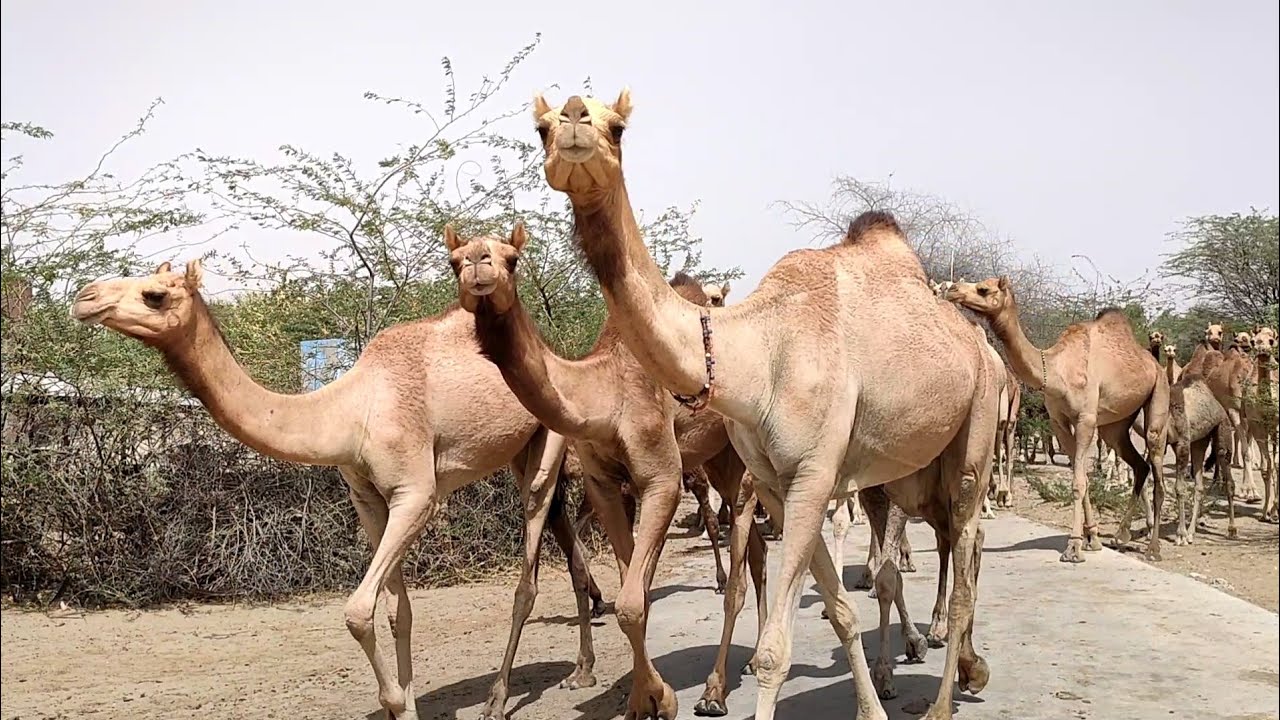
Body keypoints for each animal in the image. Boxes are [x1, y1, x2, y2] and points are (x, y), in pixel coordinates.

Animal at [69, 261, 606, 720]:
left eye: (155, 294)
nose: (84, 296)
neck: (351, 413)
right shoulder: (367, 498)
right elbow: (398, 612)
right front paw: (406, 706)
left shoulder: (417, 493)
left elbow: (358, 611)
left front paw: (394, 699)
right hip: (517, 449)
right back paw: (581, 669)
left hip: (548, 439)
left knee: (529, 562)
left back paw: (500, 697)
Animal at [444, 223, 769, 718]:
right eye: (454, 261)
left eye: (512, 258)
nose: (479, 265)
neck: (603, 395)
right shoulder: (604, 486)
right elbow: (631, 593)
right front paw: (639, 699)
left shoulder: (660, 479)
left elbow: (632, 603)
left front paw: (662, 698)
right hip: (717, 461)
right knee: (757, 551)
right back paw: (752, 659)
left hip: (741, 457)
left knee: (738, 573)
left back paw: (715, 690)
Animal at [532, 89, 1000, 720]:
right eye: (540, 128)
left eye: (619, 127)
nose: (576, 122)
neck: (759, 352)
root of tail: (982, 345)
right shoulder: (779, 484)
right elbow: (838, 609)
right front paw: (870, 706)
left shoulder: (813, 474)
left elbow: (777, 648)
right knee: (945, 547)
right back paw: (966, 667)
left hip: (977, 430)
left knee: (968, 554)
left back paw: (945, 697)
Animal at [946, 277, 1170, 561]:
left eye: (984, 289)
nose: (952, 289)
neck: (1056, 370)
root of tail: (1154, 365)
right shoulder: (1059, 422)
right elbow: (1081, 477)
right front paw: (1092, 538)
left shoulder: (1085, 419)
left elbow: (1078, 482)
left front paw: (1074, 547)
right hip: (1116, 426)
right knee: (1139, 465)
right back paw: (1121, 535)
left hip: (1158, 398)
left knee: (1157, 468)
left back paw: (1153, 548)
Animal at [1206, 326, 1279, 522]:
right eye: (1255, 340)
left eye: (1273, 339)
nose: (1260, 348)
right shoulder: (1239, 413)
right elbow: (1251, 455)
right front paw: (1251, 493)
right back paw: (1220, 483)